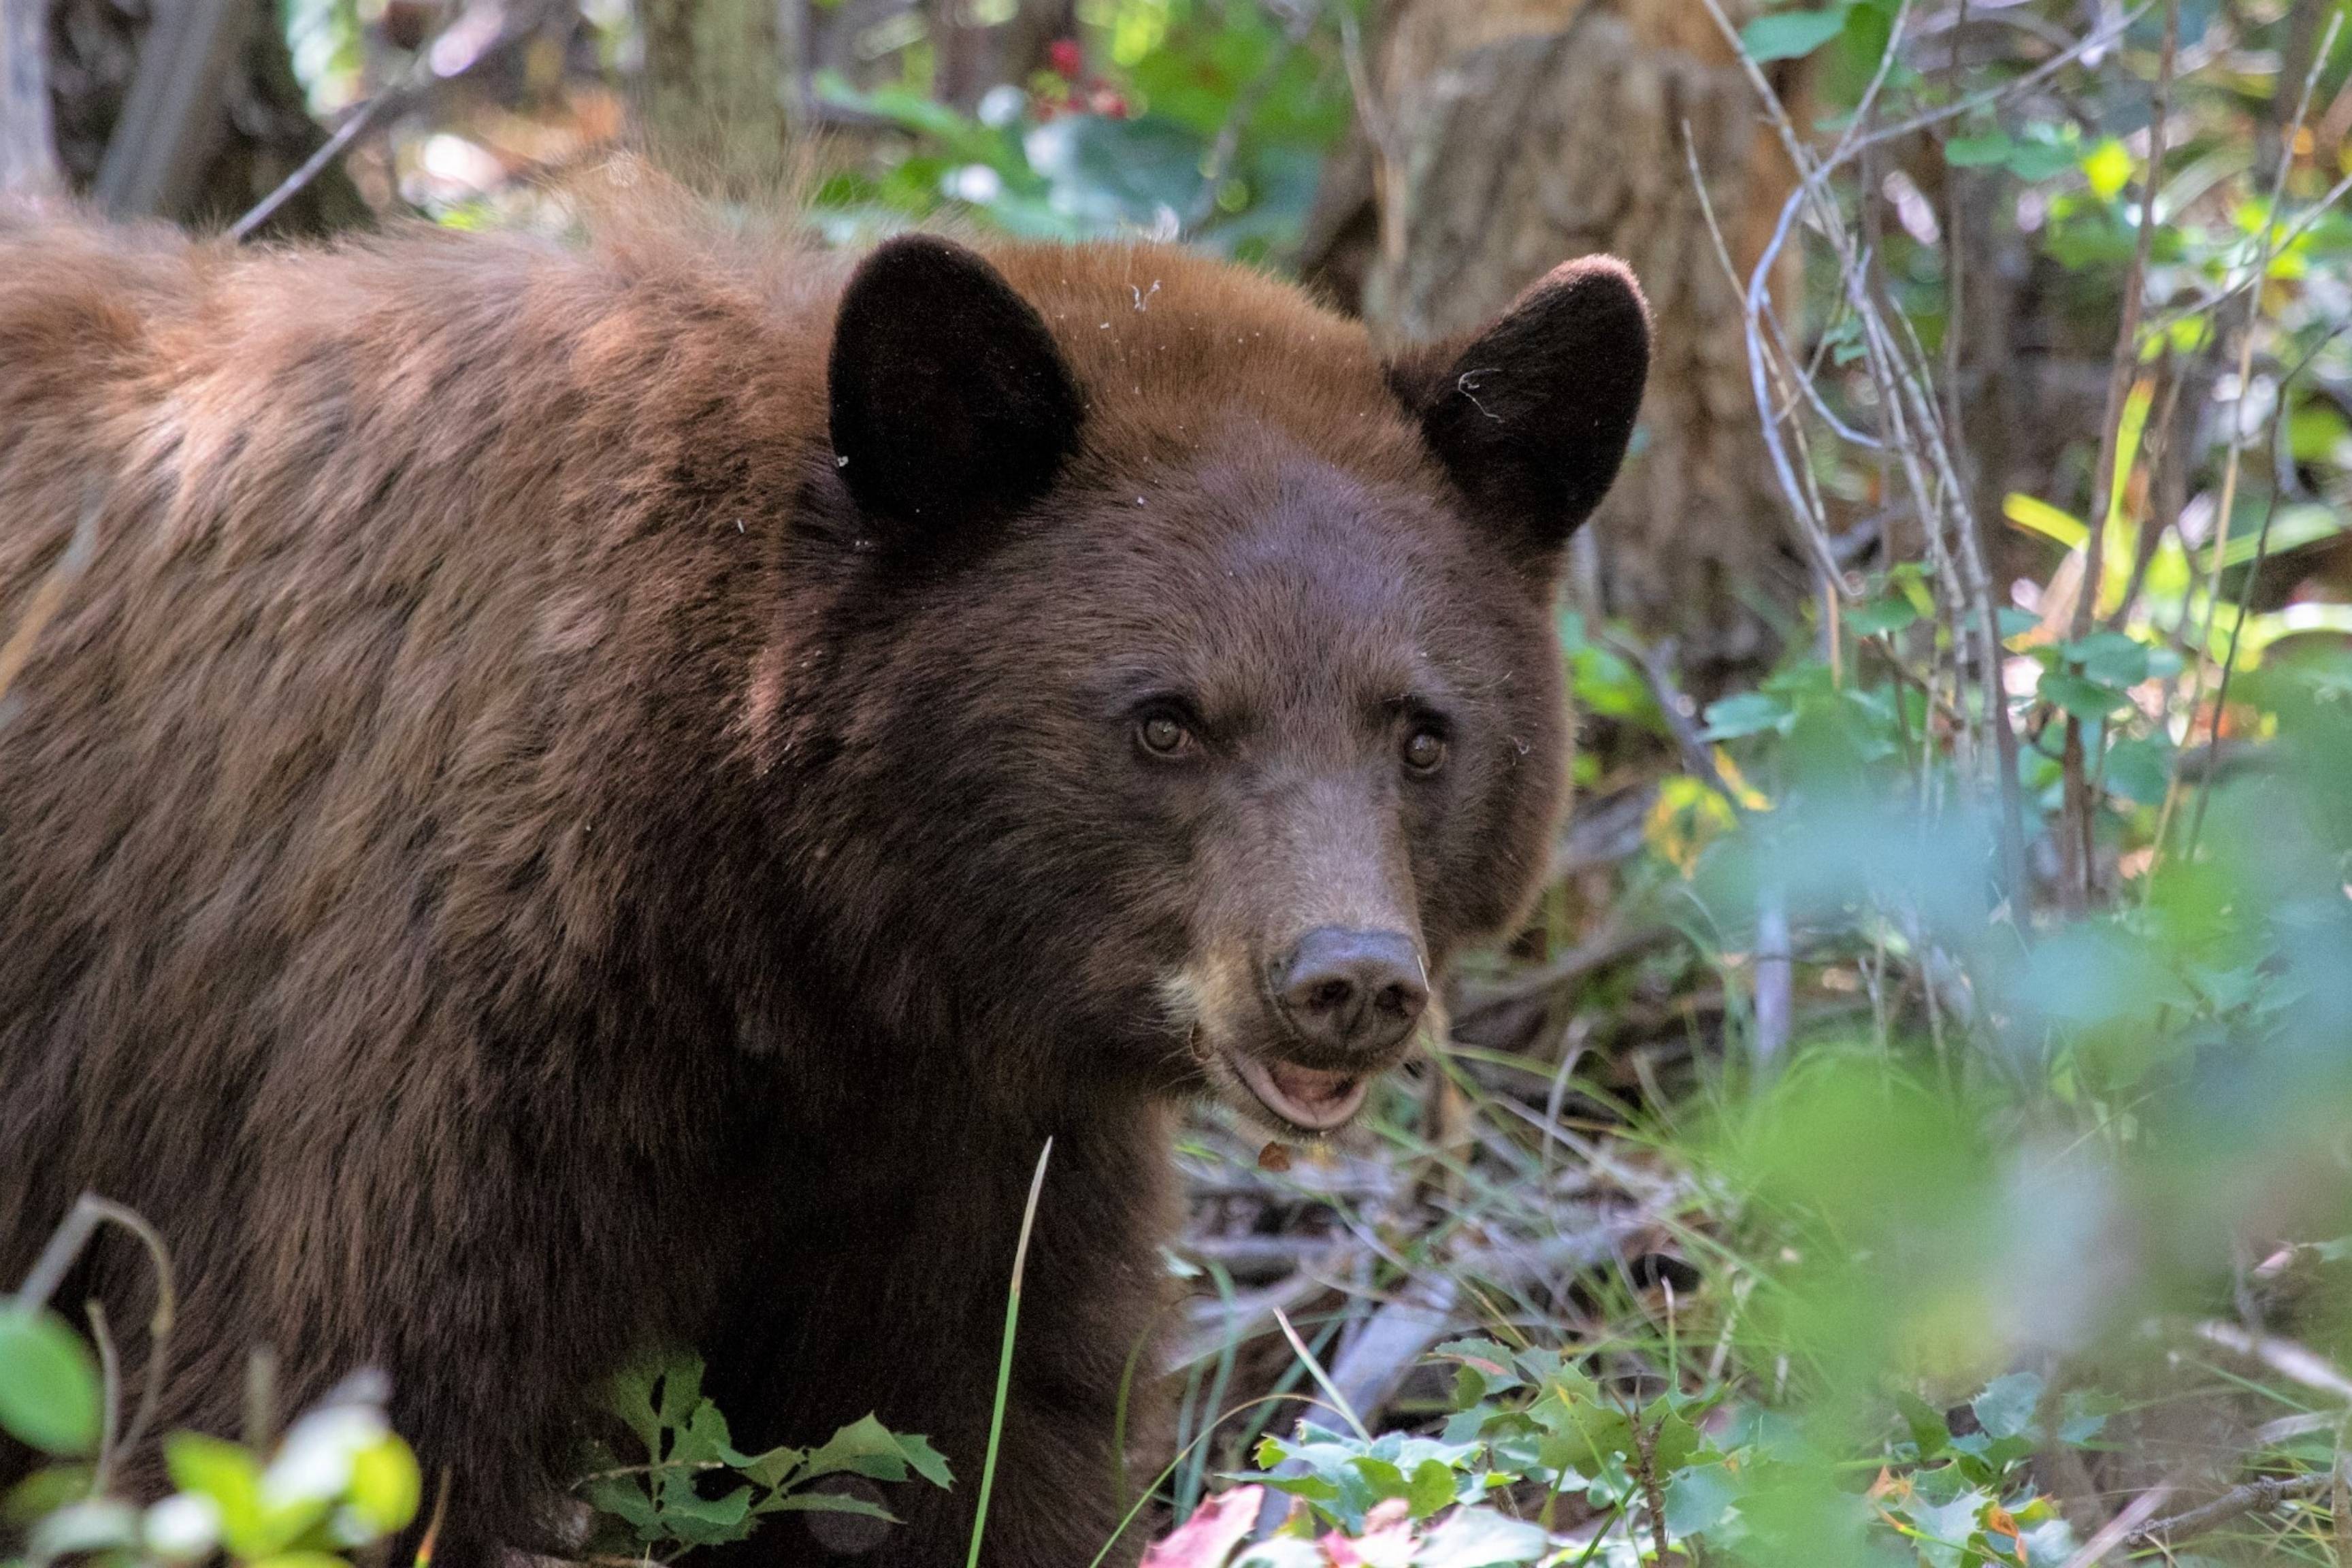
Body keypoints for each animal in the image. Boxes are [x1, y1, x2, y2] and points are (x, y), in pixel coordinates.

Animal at [0, 195, 1648, 1568]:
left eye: (1422, 733)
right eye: (1166, 720)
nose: (1347, 979)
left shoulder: (973, 1160)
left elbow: (964, 1443)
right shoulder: (402, 1046)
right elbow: (306, 1416)